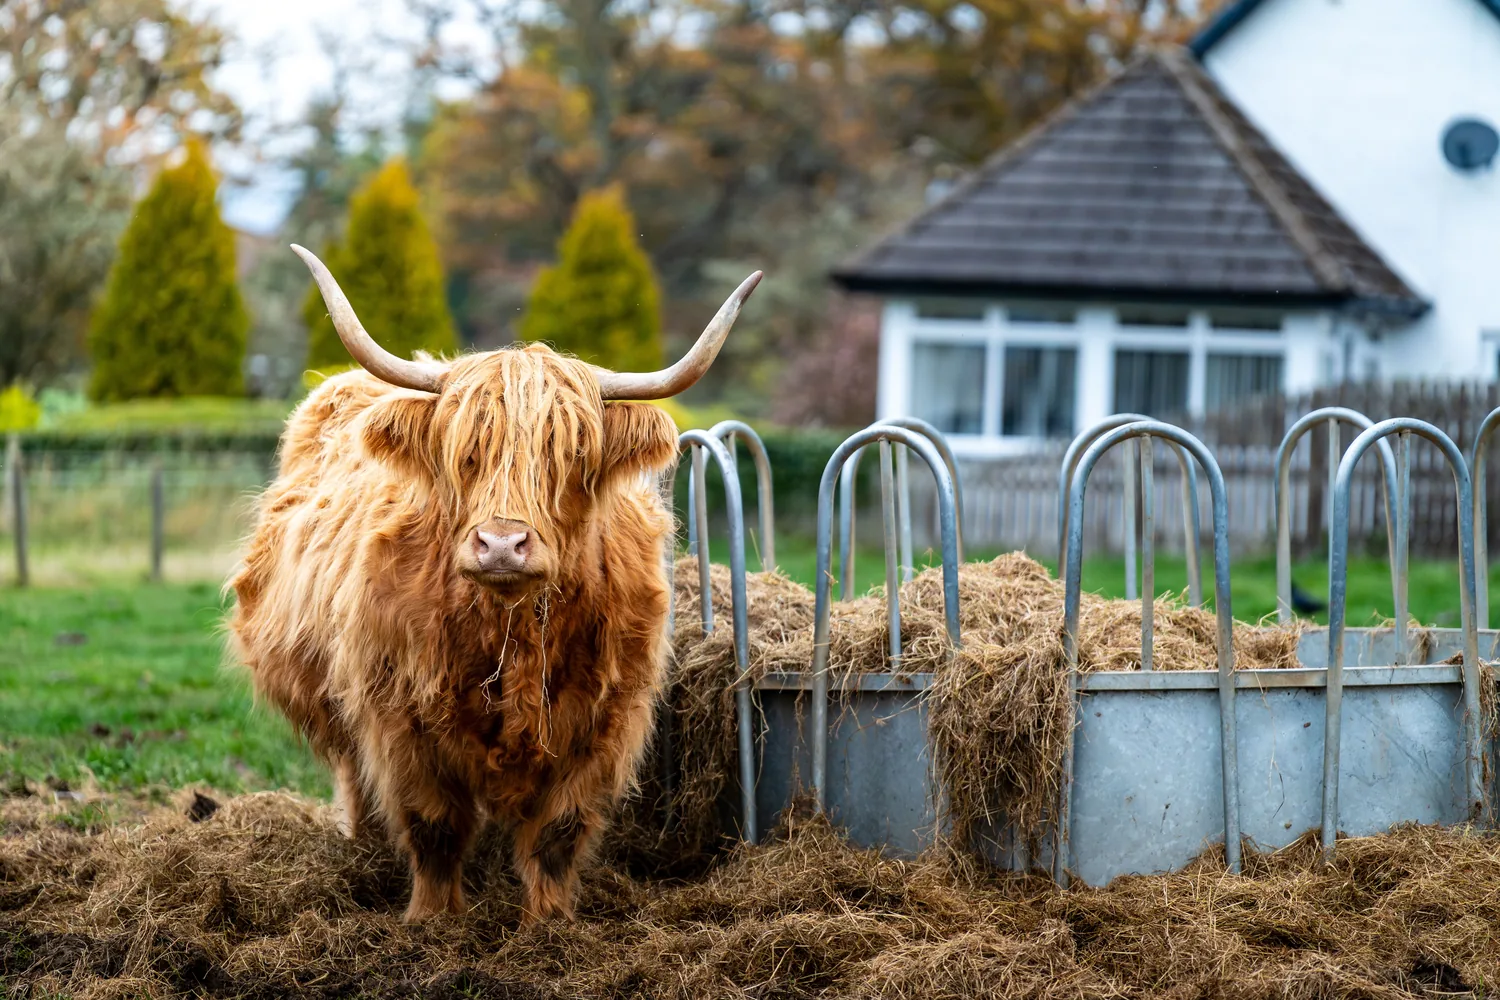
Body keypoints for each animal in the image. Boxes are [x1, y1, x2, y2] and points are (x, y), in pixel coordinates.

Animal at [228, 245, 760, 923]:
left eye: (571, 455)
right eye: (465, 453)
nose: (502, 544)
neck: (511, 632)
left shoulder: (604, 722)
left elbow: (558, 834)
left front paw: (549, 924)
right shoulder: (399, 716)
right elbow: (433, 825)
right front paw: (433, 921)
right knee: (355, 779)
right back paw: (362, 850)